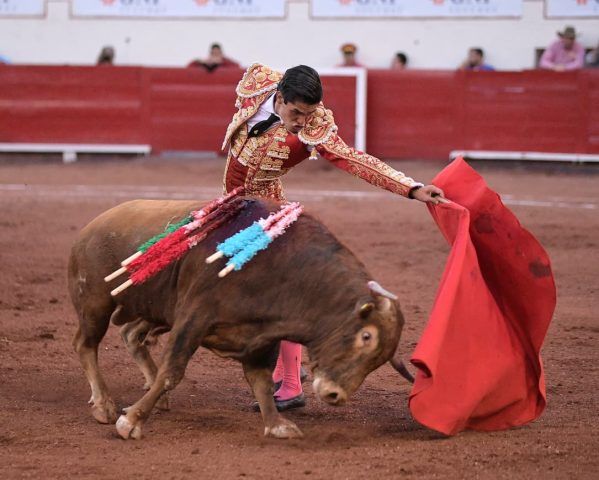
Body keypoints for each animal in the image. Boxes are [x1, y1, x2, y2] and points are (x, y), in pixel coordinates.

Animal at [68, 197, 410, 440]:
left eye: (380, 359)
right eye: (366, 336)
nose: (334, 395)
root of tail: (92, 226)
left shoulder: (263, 337)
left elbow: (261, 381)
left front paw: (276, 424)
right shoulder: (194, 318)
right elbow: (172, 372)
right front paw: (131, 422)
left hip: (154, 309)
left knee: (130, 334)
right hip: (95, 303)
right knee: (86, 344)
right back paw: (105, 405)